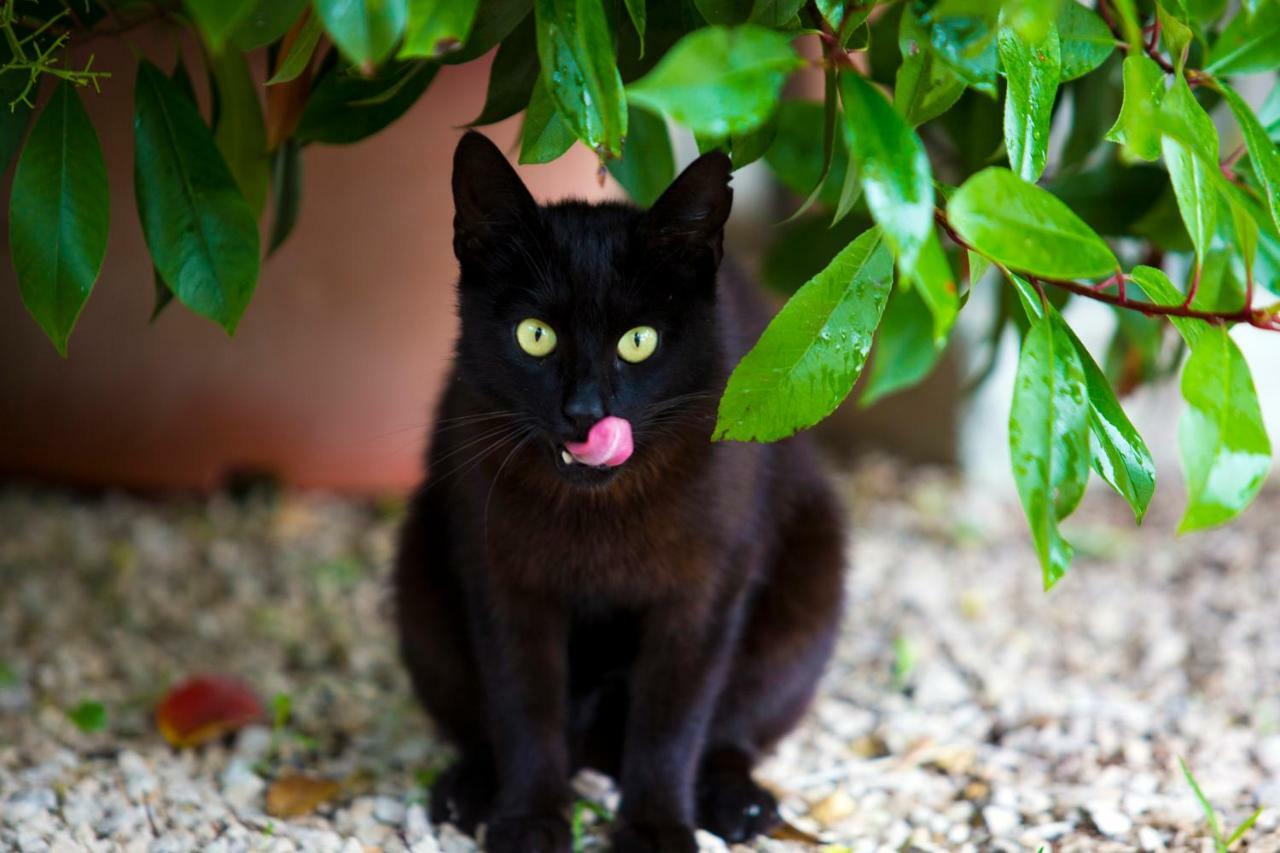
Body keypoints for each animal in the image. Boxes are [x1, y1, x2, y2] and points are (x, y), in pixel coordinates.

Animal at [394, 131, 844, 850]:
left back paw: (738, 803)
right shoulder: (504, 581)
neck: (599, 511)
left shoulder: (701, 594)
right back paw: (469, 789)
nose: (586, 411)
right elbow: (524, 707)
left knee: (733, 732)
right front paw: (529, 820)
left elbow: (671, 721)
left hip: (808, 592)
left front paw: (656, 828)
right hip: (420, 582)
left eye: (639, 341)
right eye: (535, 335)